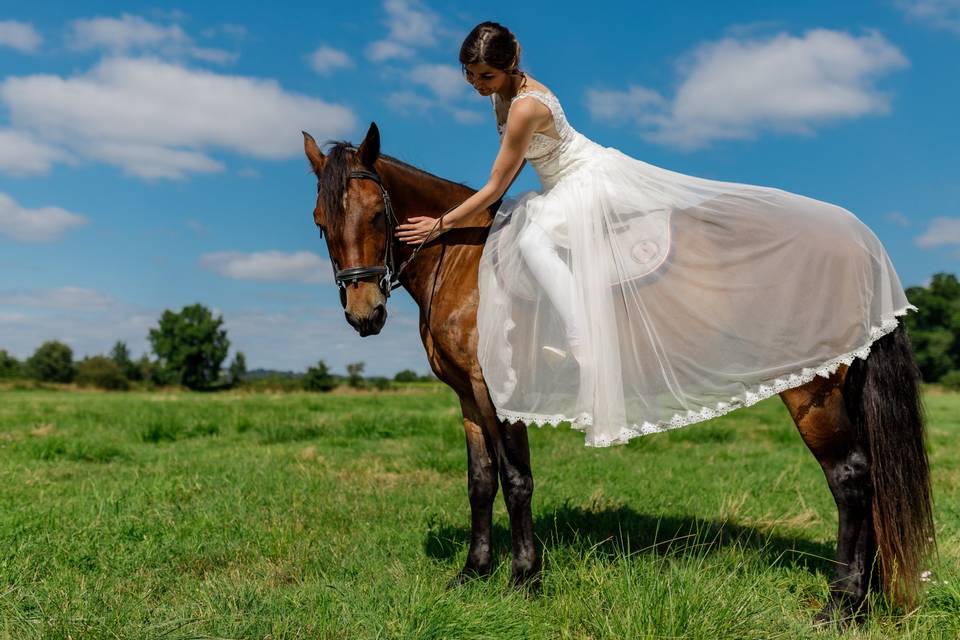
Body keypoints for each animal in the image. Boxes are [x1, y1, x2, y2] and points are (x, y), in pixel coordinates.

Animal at [304, 124, 932, 624]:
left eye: (378, 214)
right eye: (320, 222)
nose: (364, 314)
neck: (465, 259)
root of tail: (861, 244)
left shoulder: (498, 394)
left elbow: (516, 480)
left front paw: (524, 578)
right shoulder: (466, 397)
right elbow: (480, 482)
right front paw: (473, 572)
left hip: (812, 390)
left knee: (850, 479)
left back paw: (840, 606)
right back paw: (863, 598)